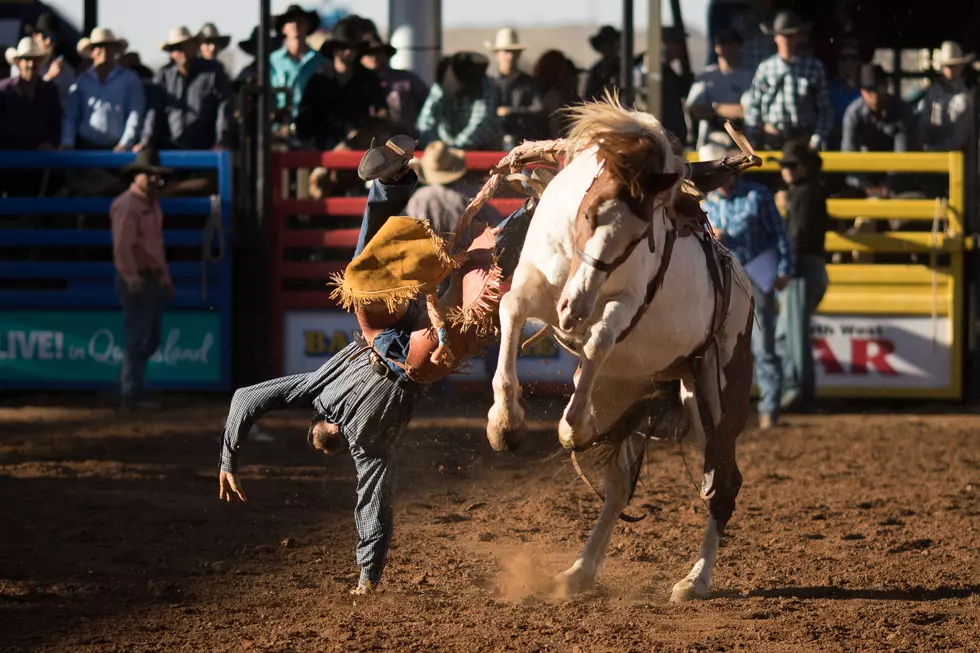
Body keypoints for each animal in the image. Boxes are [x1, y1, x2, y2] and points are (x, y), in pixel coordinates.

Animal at [486, 95, 756, 600]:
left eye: (642, 235)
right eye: (588, 212)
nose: (574, 307)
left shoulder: (624, 304)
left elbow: (600, 339)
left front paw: (571, 426)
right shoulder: (535, 281)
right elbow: (510, 310)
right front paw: (505, 424)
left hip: (716, 396)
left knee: (724, 482)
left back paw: (695, 579)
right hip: (626, 388)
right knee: (617, 488)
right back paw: (579, 571)